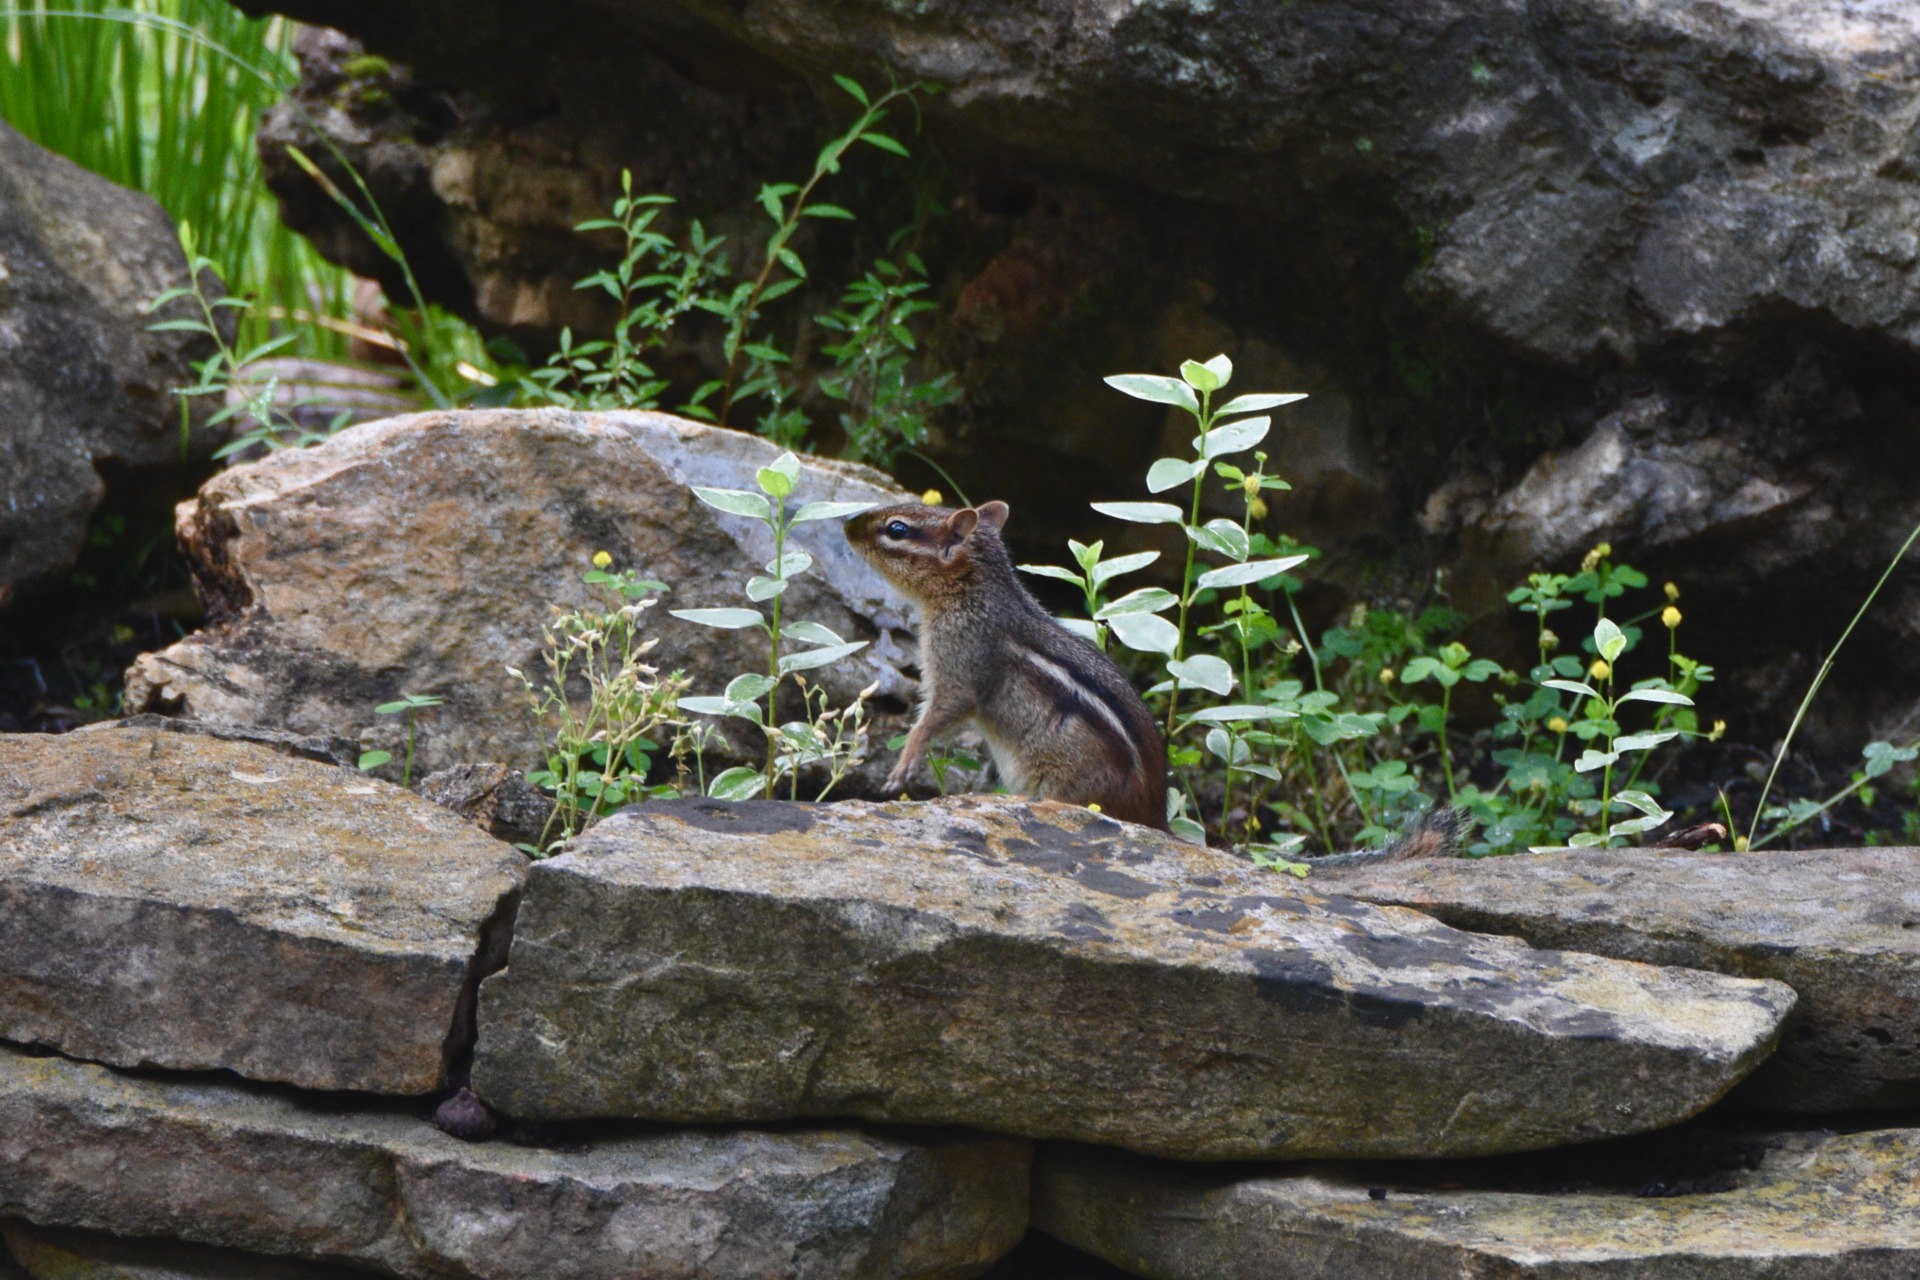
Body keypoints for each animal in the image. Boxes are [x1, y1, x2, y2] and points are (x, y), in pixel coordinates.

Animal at [846, 500, 1171, 830]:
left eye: (896, 529)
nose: (847, 525)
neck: (973, 592)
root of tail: (1156, 812)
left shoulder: (960, 658)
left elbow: (947, 708)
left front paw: (906, 761)